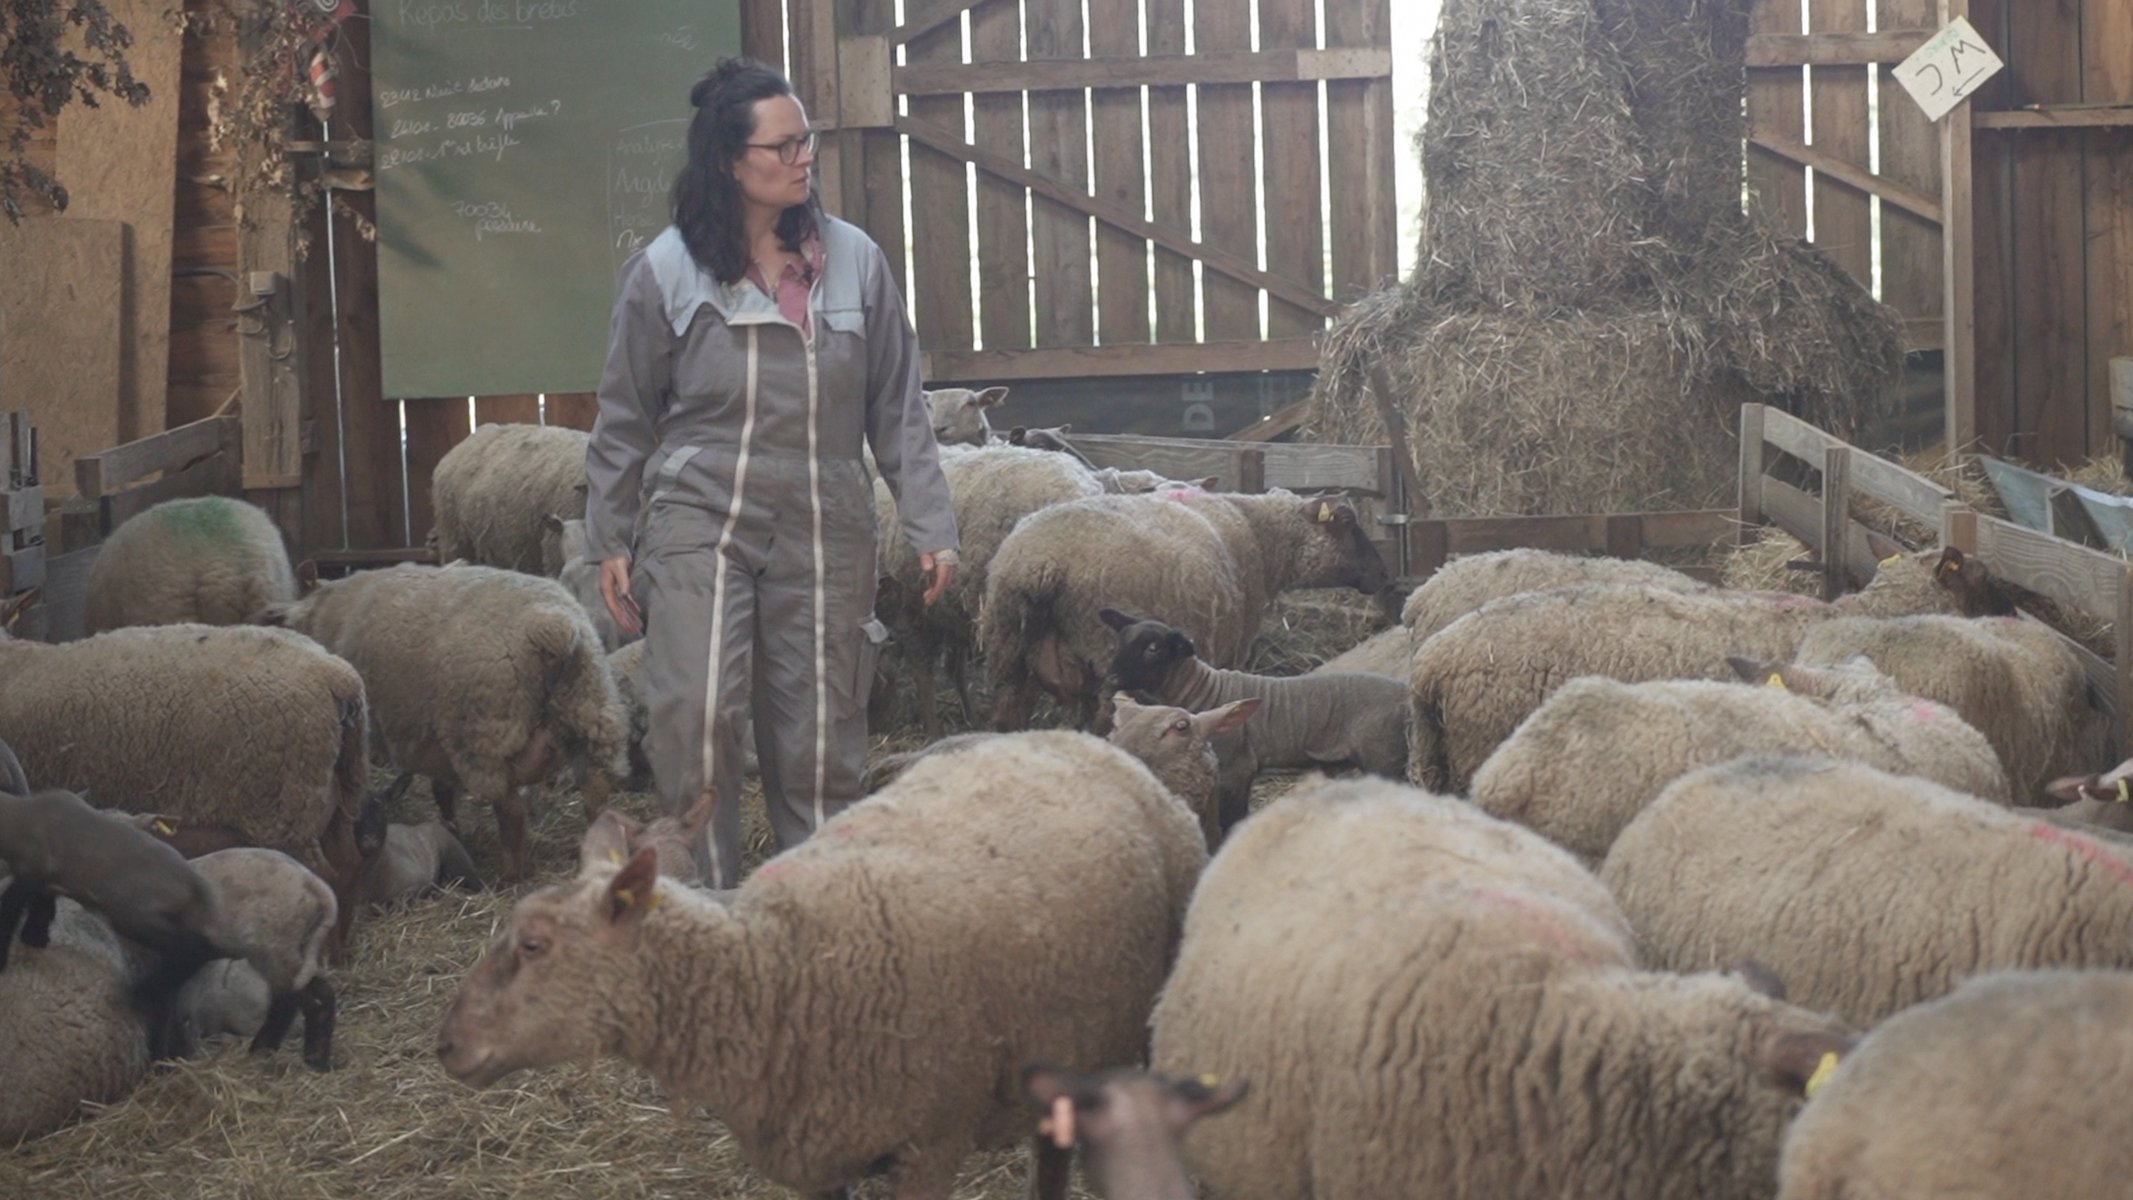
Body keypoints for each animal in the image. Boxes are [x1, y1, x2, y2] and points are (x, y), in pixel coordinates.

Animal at [258, 562, 629, 879]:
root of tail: (553, 629)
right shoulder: (435, 742)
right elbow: (442, 790)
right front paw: (452, 830)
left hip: (484, 735)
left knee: (511, 811)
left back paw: (510, 874)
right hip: (592, 712)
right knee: (596, 792)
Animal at [437, 730, 1207, 1200]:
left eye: (534, 945)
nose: (446, 1046)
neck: (772, 970)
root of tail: (1077, 737)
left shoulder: (930, 1147)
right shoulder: (819, 1155)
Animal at [982, 490, 1392, 731]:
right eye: (1348, 522)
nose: (1382, 573)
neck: (1262, 537)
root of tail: (1042, 565)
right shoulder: (1231, 649)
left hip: (1008, 653)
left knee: (1006, 718)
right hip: (1106, 659)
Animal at [1103, 608, 1407, 832]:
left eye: (1153, 648)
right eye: (1120, 642)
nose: (1111, 678)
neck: (1203, 689)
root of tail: (1403, 692)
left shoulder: (1237, 769)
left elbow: (1232, 820)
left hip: (1383, 756)